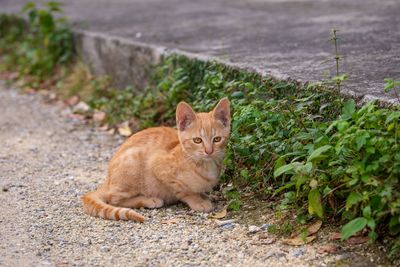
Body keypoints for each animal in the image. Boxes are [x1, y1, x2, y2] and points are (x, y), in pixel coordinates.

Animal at [82, 98, 231, 222]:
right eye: (197, 140)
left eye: (217, 139)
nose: (209, 151)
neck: (204, 165)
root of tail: (107, 179)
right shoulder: (157, 165)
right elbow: (184, 190)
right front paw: (197, 201)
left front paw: (203, 196)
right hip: (132, 162)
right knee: (113, 198)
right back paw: (149, 200)